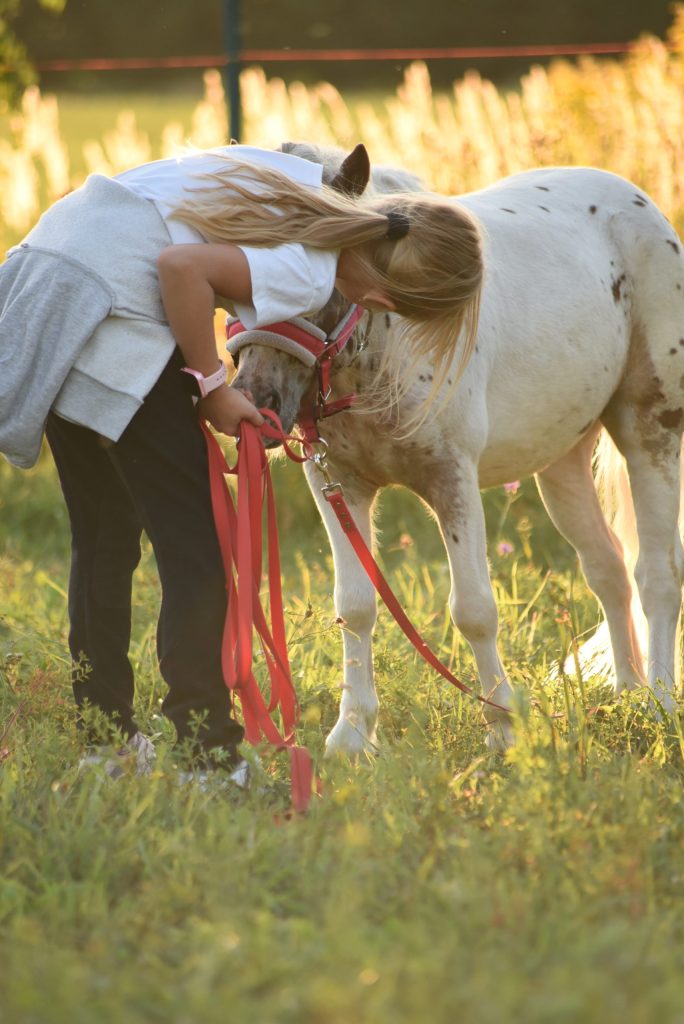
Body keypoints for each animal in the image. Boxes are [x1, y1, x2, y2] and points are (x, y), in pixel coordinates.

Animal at [231, 142, 684, 753]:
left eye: (317, 271)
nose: (257, 400)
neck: (388, 348)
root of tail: (638, 202)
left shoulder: (453, 480)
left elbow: (473, 611)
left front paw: (504, 731)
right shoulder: (340, 484)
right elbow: (355, 606)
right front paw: (352, 737)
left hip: (650, 428)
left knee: (655, 572)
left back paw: (658, 703)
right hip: (561, 461)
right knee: (607, 568)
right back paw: (626, 692)